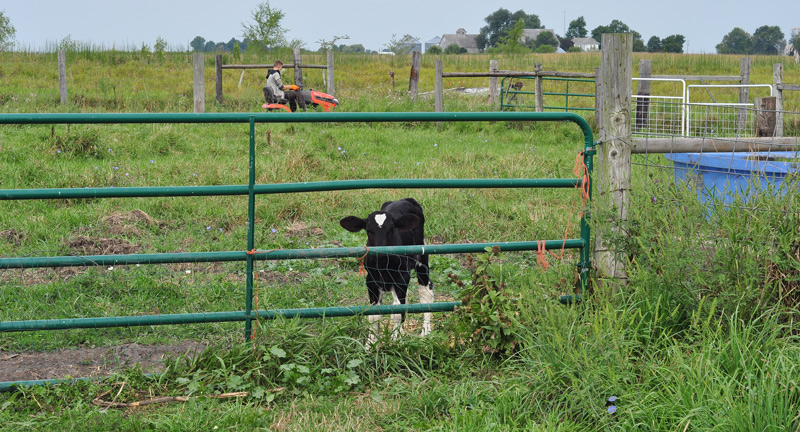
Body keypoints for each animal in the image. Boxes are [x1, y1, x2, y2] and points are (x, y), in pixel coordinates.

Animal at [339, 198, 433, 345]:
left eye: (391, 230)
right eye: (369, 231)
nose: (380, 252)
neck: (383, 264)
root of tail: (405, 199)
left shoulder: (401, 278)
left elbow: (398, 312)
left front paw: (397, 340)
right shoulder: (371, 280)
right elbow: (374, 315)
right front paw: (371, 344)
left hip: (421, 259)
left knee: (426, 293)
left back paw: (425, 333)